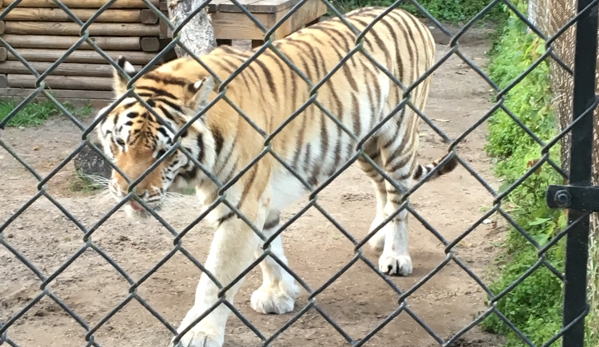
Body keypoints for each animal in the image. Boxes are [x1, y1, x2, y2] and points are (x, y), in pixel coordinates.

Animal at [95, 5, 460, 347]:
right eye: (120, 142)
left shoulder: (242, 202)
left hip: (398, 138)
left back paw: (395, 256)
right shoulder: (255, 197)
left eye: (164, 152)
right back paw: (378, 237)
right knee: (382, 188)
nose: (129, 193)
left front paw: (200, 332)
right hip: (365, 148)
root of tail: (407, 15)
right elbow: (267, 247)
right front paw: (279, 292)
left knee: (400, 198)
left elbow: (217, 276)